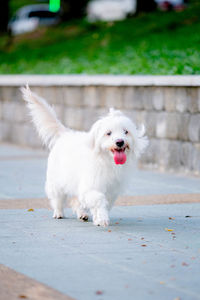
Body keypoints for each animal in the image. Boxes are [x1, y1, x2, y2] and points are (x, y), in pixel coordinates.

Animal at [21, 85, 148, 226]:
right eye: (108, 133)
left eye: (126, 132)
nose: (120, 142)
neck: (106, 160)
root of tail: (65, 134)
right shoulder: (90, 188)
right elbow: (99, 199)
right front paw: (102, 219)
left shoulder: (112, 190)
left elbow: (104, 203)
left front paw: (98, 218)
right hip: (56, 181)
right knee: (57, 198)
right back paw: (58, 212)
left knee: (77, 201)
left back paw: (82, 214)